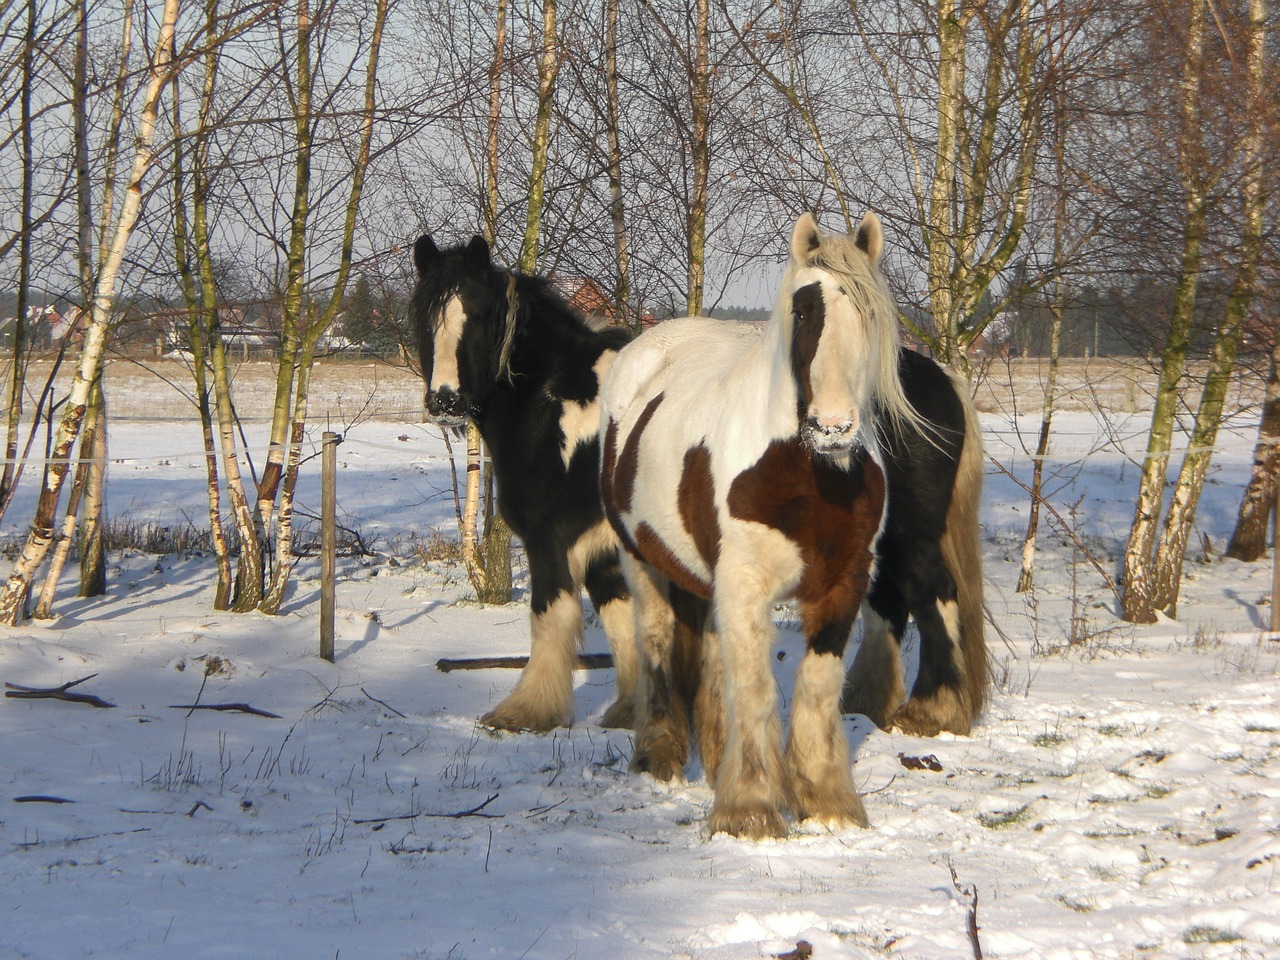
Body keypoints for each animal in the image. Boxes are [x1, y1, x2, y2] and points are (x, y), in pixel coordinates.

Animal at [412, 236, 637, 732]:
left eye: (480, 313)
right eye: (423, 312)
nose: (445, 400)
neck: (553, 397)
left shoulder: (548, 537)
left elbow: (550, 613)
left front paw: (528, 711)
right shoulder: (603, 548)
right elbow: (625, 620)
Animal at [599, 212, 921, 839]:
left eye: (869, 313)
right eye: (803, 311)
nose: (833, 427)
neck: (808, 473)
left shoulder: (841, 584)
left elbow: (815, 690)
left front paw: (827, 804)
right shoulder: (746, 585)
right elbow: (753, 690)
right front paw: (748, 811)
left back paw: (713, 761)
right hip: (642, 561)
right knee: (655, 646)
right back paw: (659, 757)